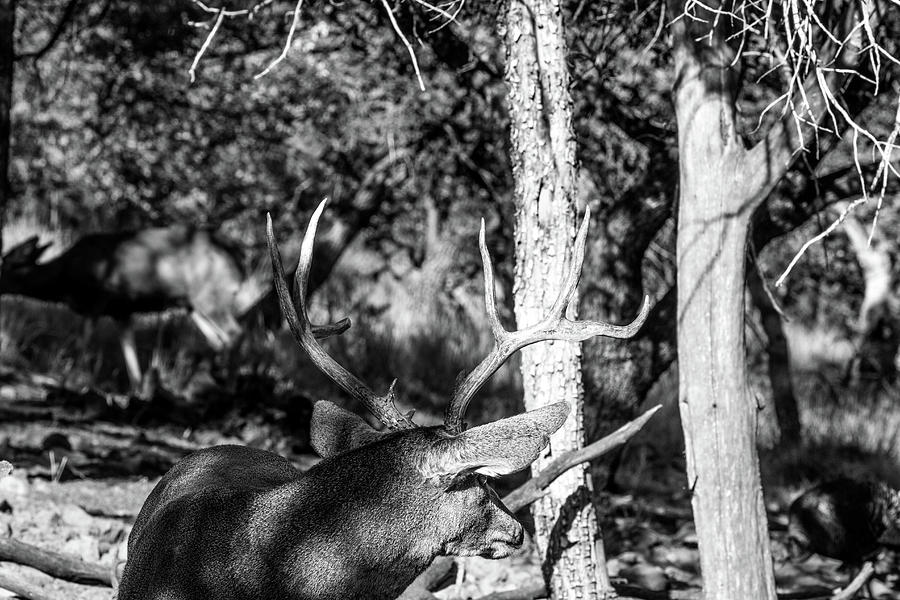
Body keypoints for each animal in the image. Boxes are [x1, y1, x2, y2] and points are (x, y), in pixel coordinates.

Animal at [1, 225, 248, 390]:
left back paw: (229, 387)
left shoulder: (98, 299)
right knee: (216, 338)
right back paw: (195, 382)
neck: (65, 280)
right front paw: (137, 389)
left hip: (211, 296)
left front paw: (69, 379)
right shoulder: (122, 310)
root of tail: (238, 258)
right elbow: (129, 350)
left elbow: (82, 341)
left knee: (235, 332)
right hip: (192, 304)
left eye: (7, 263)